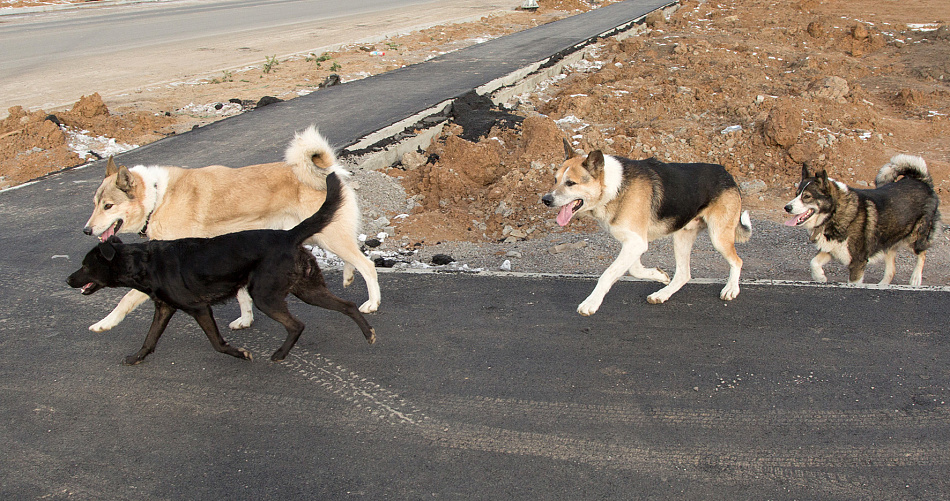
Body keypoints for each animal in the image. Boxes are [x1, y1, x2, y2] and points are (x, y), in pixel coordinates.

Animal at [67, 172, 376, 364]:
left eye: (85, 266)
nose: (68, 280)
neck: (145, 261)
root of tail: (288, 235)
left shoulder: (200, 308)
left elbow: (216, 342)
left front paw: (240, 353)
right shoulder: (164, 309)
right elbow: (149, 339)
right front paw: (135, 358)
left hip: (265, 295)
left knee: (297, 324)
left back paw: (279, 354)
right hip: (307, 288)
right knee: (347, 305)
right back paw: (368, 333)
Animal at [82, 124, 380, 330]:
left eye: (108, 206)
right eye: (95, 203)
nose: (86, 230)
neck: (157, 198)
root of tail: (329, 171)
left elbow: (125, 299)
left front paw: (104, 323)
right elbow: (241, 297)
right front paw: (245, 320)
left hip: (330, 236)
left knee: (367, 265)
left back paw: (372, 303)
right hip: (322, 235)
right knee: (354, 257)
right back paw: (348, 277)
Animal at [544, 145, 752, 314]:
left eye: (571, 183)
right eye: (555, 180)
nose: (545, 200)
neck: (614, 187)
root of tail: (726, 173)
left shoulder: (635, 243)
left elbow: (608, 274)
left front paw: (591, 303)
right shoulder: (633, 243)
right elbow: (635, 269)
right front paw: (658, 275)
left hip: (718, 236)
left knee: (737, 261)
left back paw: (731, 289)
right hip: (682, 237)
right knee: (683, 274)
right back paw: (662, 294)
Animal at [784, 152, 940, 286]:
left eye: (807, 196)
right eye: (796, 194)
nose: (787, 207)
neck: (835, 213)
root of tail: (921, 181)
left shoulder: (857, 263)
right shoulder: (832, 250)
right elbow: (813, 262)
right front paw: (820, 277)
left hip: (914, 239)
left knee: (922, 253)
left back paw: (915, 278)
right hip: (889, 241)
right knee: (891, 270)